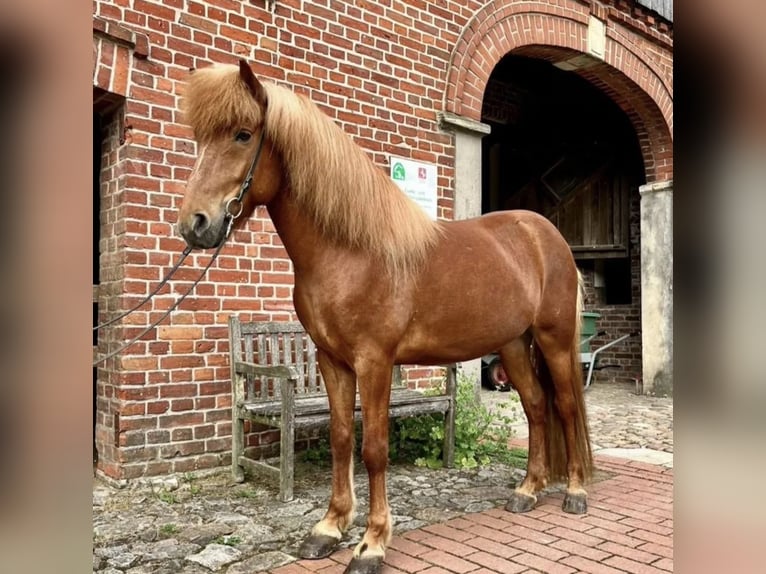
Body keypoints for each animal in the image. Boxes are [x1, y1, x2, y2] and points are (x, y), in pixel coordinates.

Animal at [177, 60, 592, 574]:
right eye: (200, 138)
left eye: (242, 134)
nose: (194, 224)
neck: (350, 251)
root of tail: (545, 235)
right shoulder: (332, 361)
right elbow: (340, 438)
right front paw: (329, 528)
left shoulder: (374, 361)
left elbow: (374, 448)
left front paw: (372, 544)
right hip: (514, 344)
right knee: (535, 407)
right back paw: (528, 491)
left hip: (553, 339)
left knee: (566, 405)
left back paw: (575, 492)